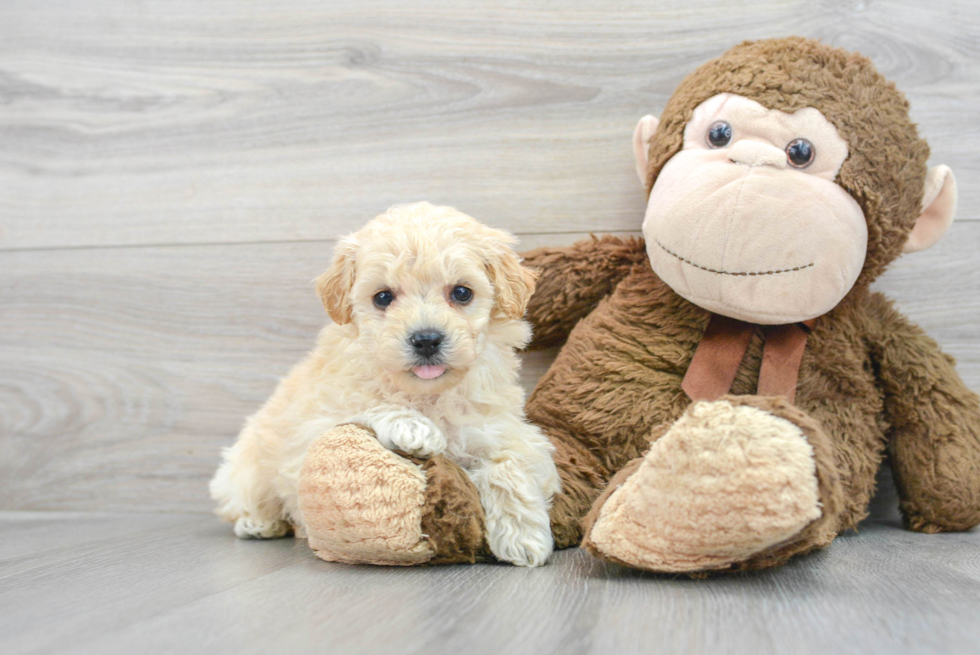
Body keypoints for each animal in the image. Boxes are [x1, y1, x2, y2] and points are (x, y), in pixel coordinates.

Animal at [209, 202, 560, 568]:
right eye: (383, 297)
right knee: (240, 499)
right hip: (247, 468)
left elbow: (511, 464)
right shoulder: (312, 425)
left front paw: (523, 537)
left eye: (462, 292)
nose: (426, 339)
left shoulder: (505, 428)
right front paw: (413, 427)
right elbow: (365, 405)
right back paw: (258, 523)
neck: (427, 396)